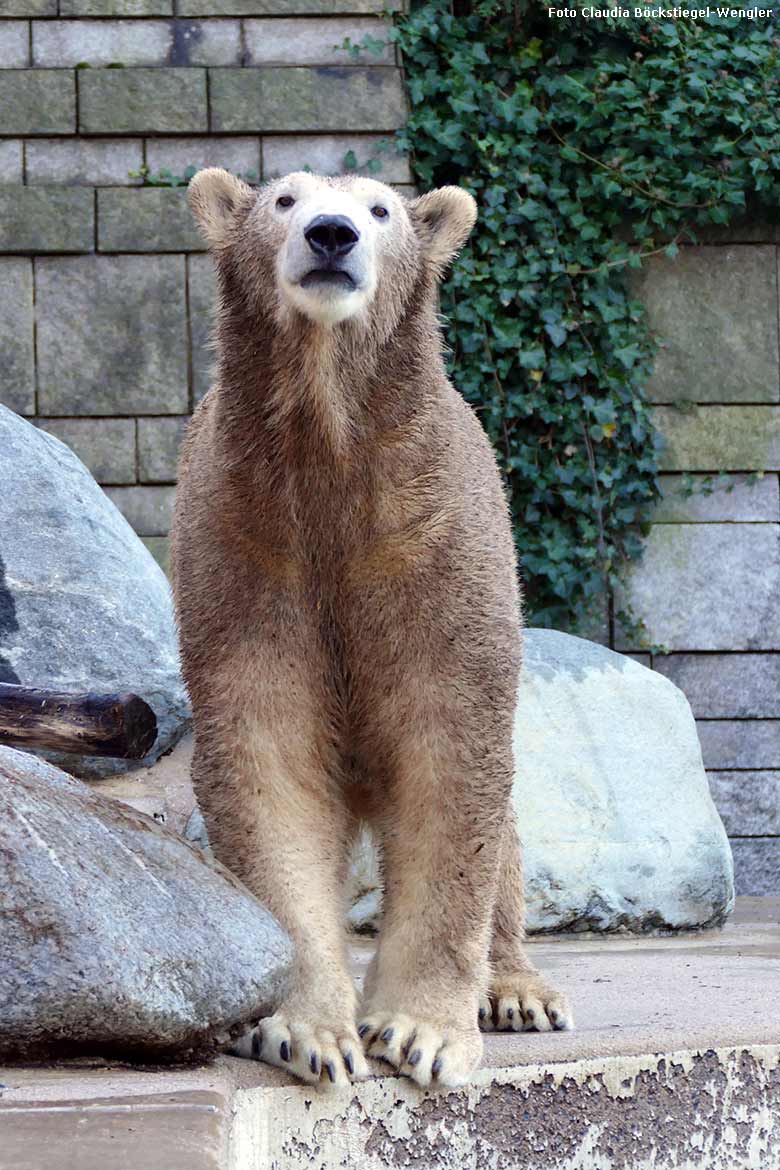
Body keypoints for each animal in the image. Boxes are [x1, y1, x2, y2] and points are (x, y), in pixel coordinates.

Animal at [171, 167, 573, 1085]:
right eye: (283, 200)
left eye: (382, 208)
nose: (332, 234)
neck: (332, 451)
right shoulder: (248, 544)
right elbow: (269, 756)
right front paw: (307, 1032)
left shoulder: (432, 539)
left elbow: (451, 754)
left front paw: (421, 1033)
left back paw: (517, 989)